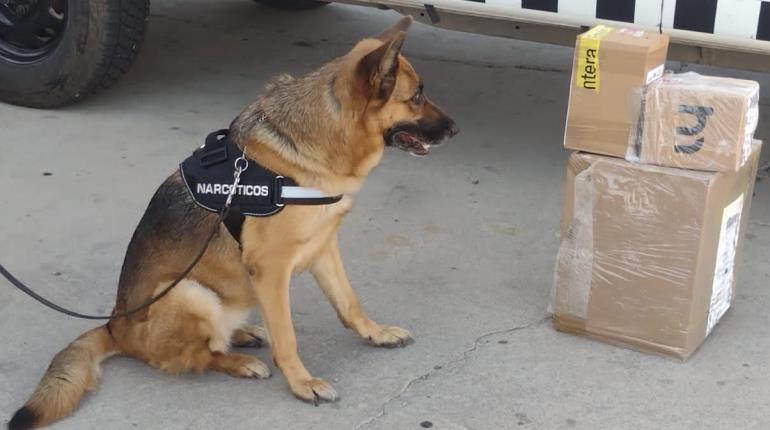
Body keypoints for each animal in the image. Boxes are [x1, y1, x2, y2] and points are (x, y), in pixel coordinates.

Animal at [9, 15, 456, 428]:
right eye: (417, 95)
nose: (455, 129)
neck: (318, 138)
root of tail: (116, 325)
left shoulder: (322, 247)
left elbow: (349, 302)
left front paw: (374, 333)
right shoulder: (272, 269)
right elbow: (287, 336)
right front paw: (301, 383)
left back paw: (243, 333)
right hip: (189, 292)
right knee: (199, 355)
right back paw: (239, 362)